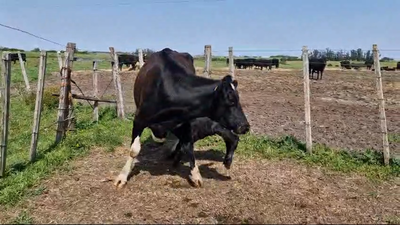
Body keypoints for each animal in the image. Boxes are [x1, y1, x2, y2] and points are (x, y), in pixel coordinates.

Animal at [113, 47, 250, 188]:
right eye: (231, 101)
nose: (245, 126)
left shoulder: (183, 123)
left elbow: (188, 147)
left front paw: (196, 175)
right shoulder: (139, 120)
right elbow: (134, 150)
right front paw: (122, 176)